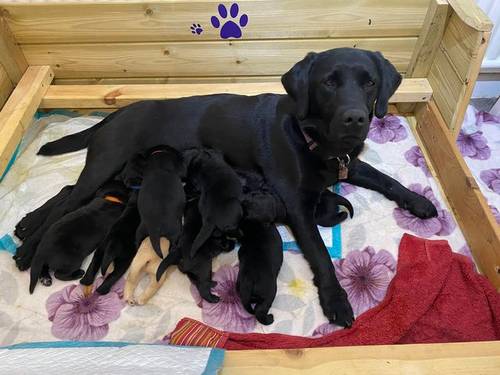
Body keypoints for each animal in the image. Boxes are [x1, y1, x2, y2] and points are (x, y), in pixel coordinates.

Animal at [27, 48, 436, 328]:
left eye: (369, 82)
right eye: (329, 82)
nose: (355, 118)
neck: (310, 136)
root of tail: (115, 114)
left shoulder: (346, 163)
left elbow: (385, 178)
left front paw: (418, 201)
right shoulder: (297, 206)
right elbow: (320, 254)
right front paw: (336, 300)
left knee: (65, 193)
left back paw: (25, 230)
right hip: (105, 166)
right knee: (64, 204)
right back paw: (28, 251)